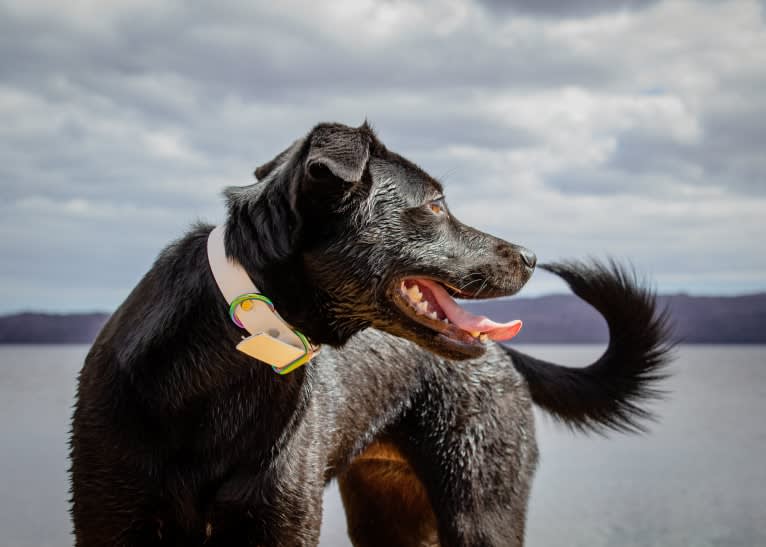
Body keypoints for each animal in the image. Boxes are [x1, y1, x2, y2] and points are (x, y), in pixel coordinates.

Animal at [72, 122, 672, 544]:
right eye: (435, 206)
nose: (530, 256)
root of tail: (508, 358)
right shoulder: (111, 521)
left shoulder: (279, 522)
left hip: (481, 509)